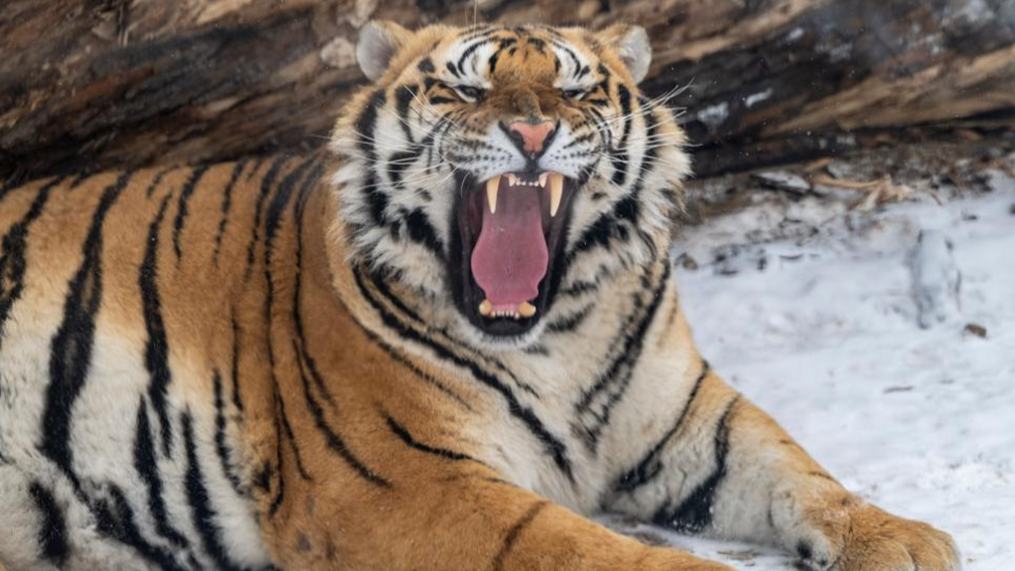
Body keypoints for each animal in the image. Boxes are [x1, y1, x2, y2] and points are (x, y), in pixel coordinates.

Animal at [0, 19, 960, 571]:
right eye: (464, 85)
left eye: (573, 87)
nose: (531, 130)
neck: (559, 334)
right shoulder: (404, 479)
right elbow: (578, 547)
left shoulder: (684, 418)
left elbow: (795, 468)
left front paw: (900, 537)